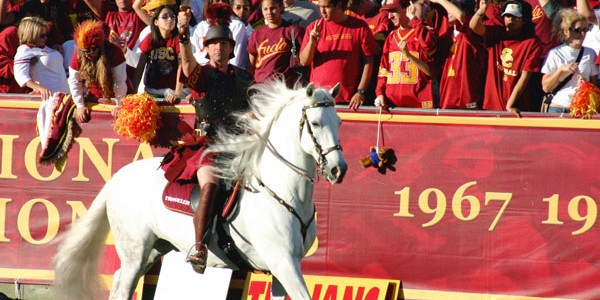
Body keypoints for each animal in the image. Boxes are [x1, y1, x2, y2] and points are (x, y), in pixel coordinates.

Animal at [54, 80, 350, 300]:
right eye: (315, 123)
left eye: (338, 122)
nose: (339, 170)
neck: (282, 192)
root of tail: (118, 177)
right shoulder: (283, 262)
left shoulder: (282, 269)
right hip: (133, 251)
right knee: (123, 286)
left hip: (155, 248)